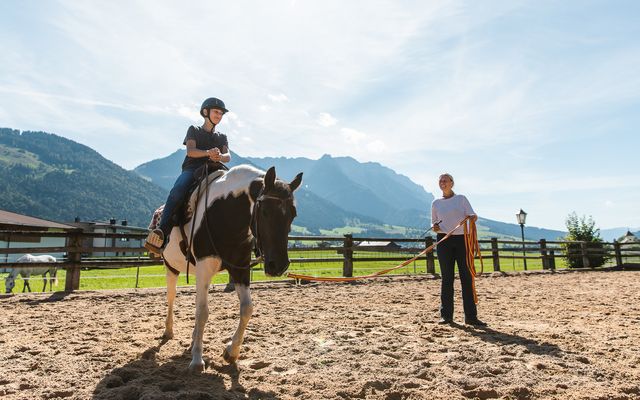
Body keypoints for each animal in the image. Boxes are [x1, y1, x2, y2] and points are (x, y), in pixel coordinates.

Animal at [159, 164, 302, 370]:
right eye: (265, 211)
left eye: (293, 214)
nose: (279, 265)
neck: (225, 216)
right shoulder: (204, 266)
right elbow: (202, 312)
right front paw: (197, 360)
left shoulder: (240, 268)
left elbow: (247, 309)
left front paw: (231, 352)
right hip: (171, 266)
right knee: (171, 296)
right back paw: (169, 331)